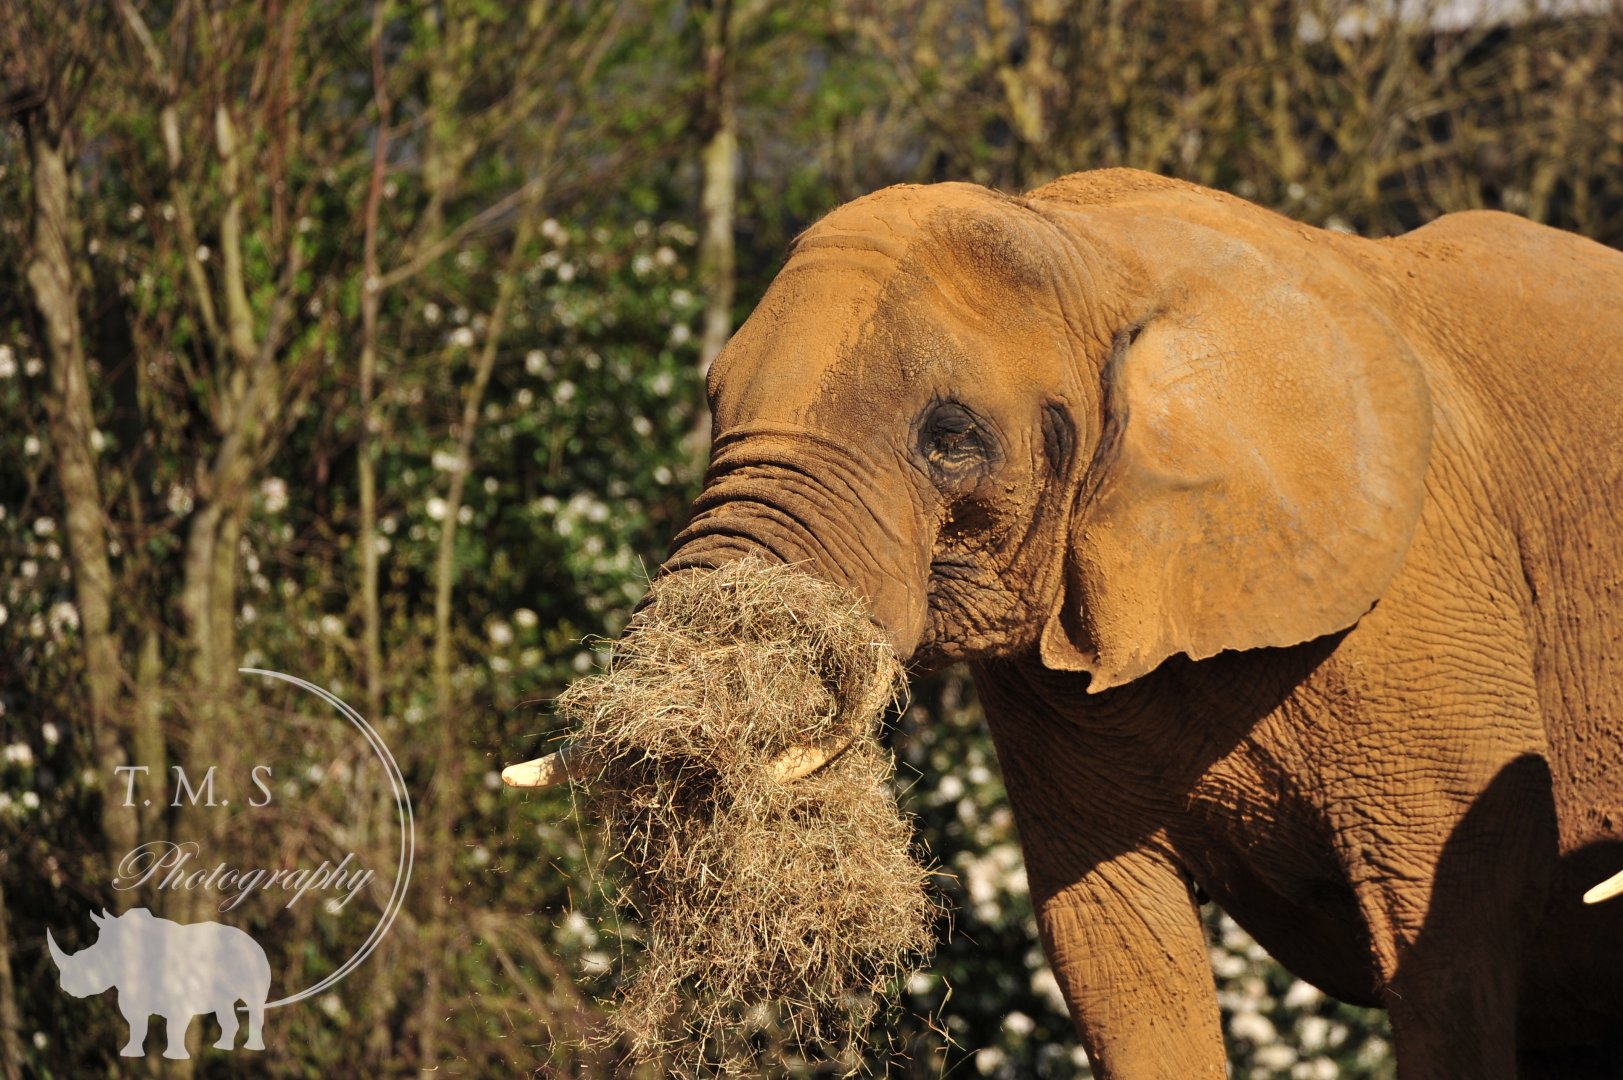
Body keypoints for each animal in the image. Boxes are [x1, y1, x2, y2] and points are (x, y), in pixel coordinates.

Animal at [47, 907, 270, 1058]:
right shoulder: (131, 992)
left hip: (252, 960)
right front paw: (130, 1053)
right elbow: (136, 1026)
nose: (65, 986)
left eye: (93, 965)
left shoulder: (180, 999)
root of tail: (252, 940)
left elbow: (174, 1028)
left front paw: (175, 1057)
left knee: (253, 1001)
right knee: (223, 1004)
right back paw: (221, 1047)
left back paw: (252, 1048)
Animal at [512, 169, 1623, 1076]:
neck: (1092, 250)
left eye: (949, 437)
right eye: (711, 401)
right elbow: (1112, 946)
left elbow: (1450, 927)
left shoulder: (1428, 596)